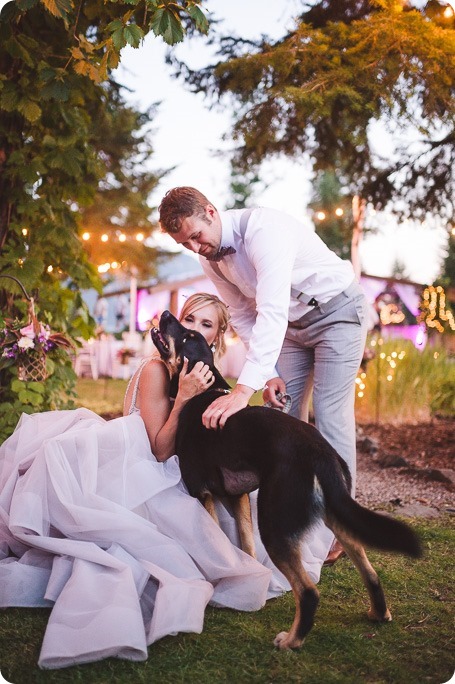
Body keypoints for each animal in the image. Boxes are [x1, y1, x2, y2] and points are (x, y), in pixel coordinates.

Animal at [151, 312, 422, 648]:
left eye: (188, 335)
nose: (165, 314)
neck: (203, 395)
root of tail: (321, 453)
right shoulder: (237, 497)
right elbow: (246, 548)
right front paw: (248, 582)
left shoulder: (201, 493)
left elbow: (216, 544)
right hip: (334, 515)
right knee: (369, 569)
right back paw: (378, 613)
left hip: (275, 522)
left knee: (308, 592)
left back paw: (291, 641)